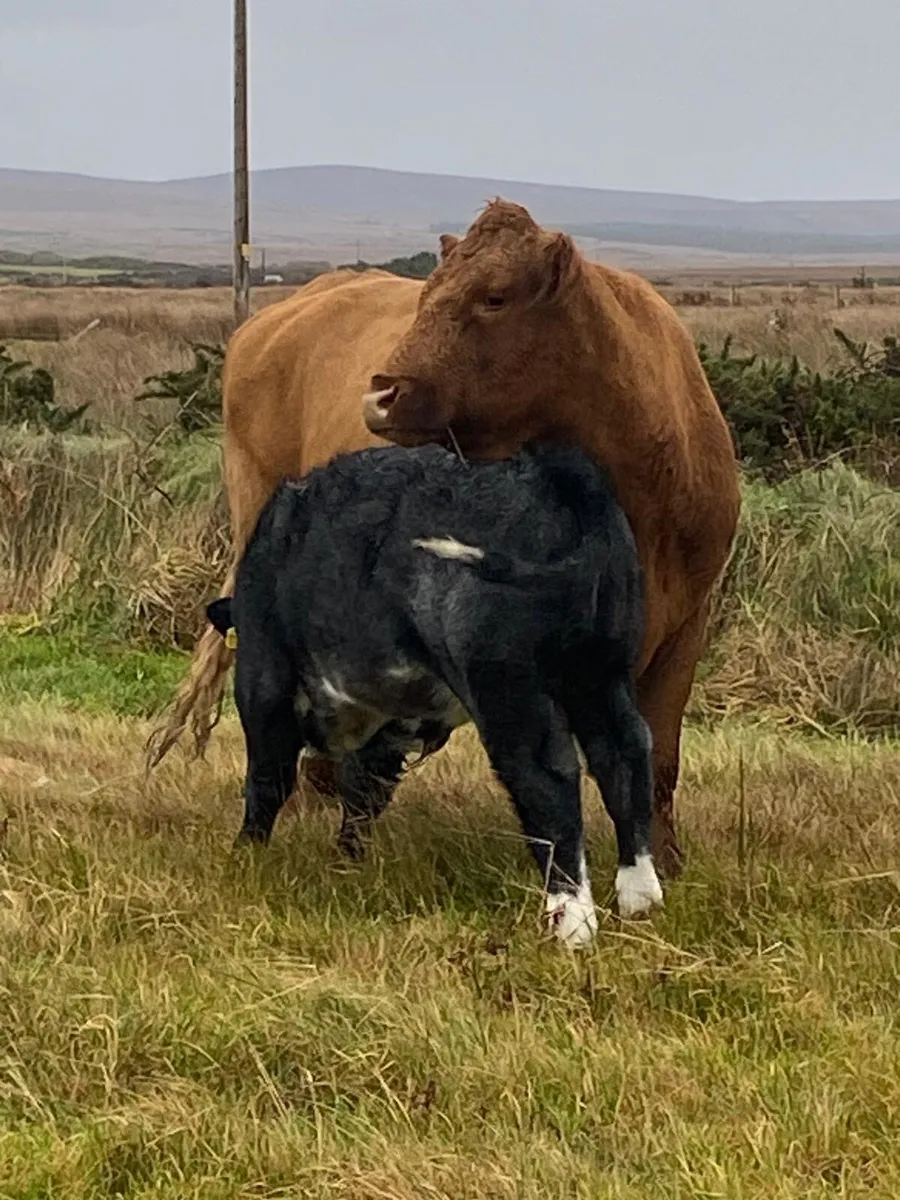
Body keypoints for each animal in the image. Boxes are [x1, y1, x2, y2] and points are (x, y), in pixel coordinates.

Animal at [149, 199, 740, 880]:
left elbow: (659, 756)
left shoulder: (685, 627)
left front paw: (664, 861)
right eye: (427, 295)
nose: (380, 394)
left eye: (495, 297)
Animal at [205, 439, 663, 948]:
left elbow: (268, 781)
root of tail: (554, 470)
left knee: (547, 776)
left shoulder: (264, 681)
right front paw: (347, 862)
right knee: (623, 754)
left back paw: (572, 923)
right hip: (600, 671)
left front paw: (246, 858)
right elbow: (362, 795)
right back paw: (640, 898)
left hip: (506, 687)